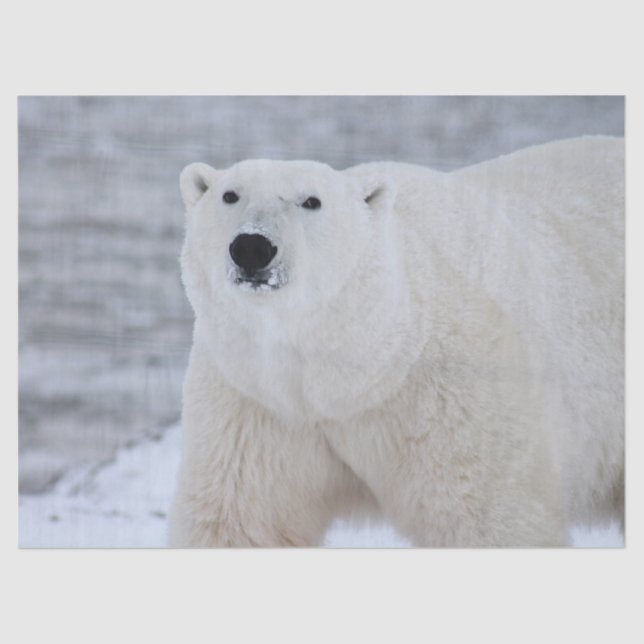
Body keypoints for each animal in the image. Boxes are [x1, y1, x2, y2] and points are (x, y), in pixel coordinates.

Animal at [168, 136, 624, 547]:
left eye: (311, 201)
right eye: (230, 195)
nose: (252, 246)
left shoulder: (455, 395)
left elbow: (488, 515)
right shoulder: (258, 401)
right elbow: (241, 519)